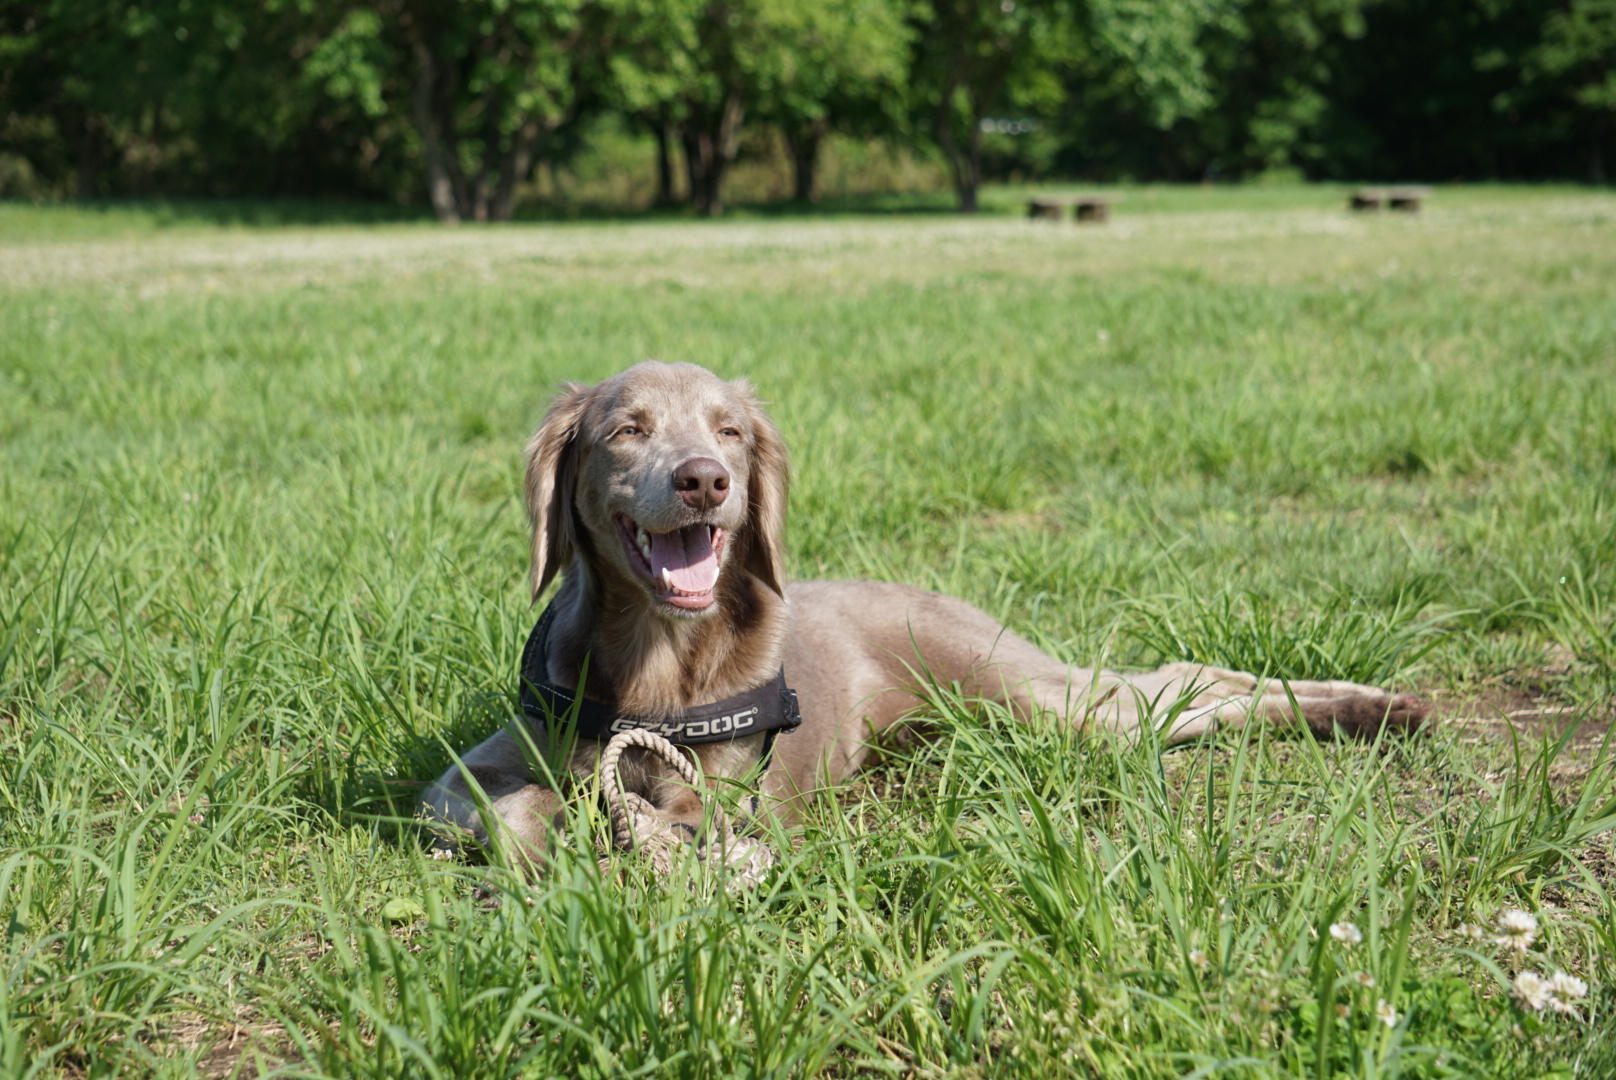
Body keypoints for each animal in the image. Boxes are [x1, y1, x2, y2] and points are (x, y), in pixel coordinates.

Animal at [420, 362, 1428, 866]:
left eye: (729, 431)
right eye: (627, 429)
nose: (704, 481)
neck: (657, 671)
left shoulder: (743, 795)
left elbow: (685, 815)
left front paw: (636, 831)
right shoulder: (471, 766)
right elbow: (491, 805)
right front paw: (567, 826)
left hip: (1028, 695)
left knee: (1179, 687)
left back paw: (1376, 709)